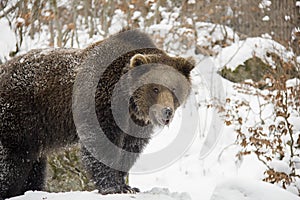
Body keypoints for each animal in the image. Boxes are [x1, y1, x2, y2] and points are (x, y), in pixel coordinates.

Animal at [0, 29, 195, 198]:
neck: (128, 103)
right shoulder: (99, 103)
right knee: (12, 162)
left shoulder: (135, 124)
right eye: (155, 88)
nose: (166, 112)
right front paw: (113, 187)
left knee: (33, 164)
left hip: (34, 134)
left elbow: (129, 149)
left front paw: (127, 186)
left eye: (175, 88)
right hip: (18, 115)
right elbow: (101, 143)